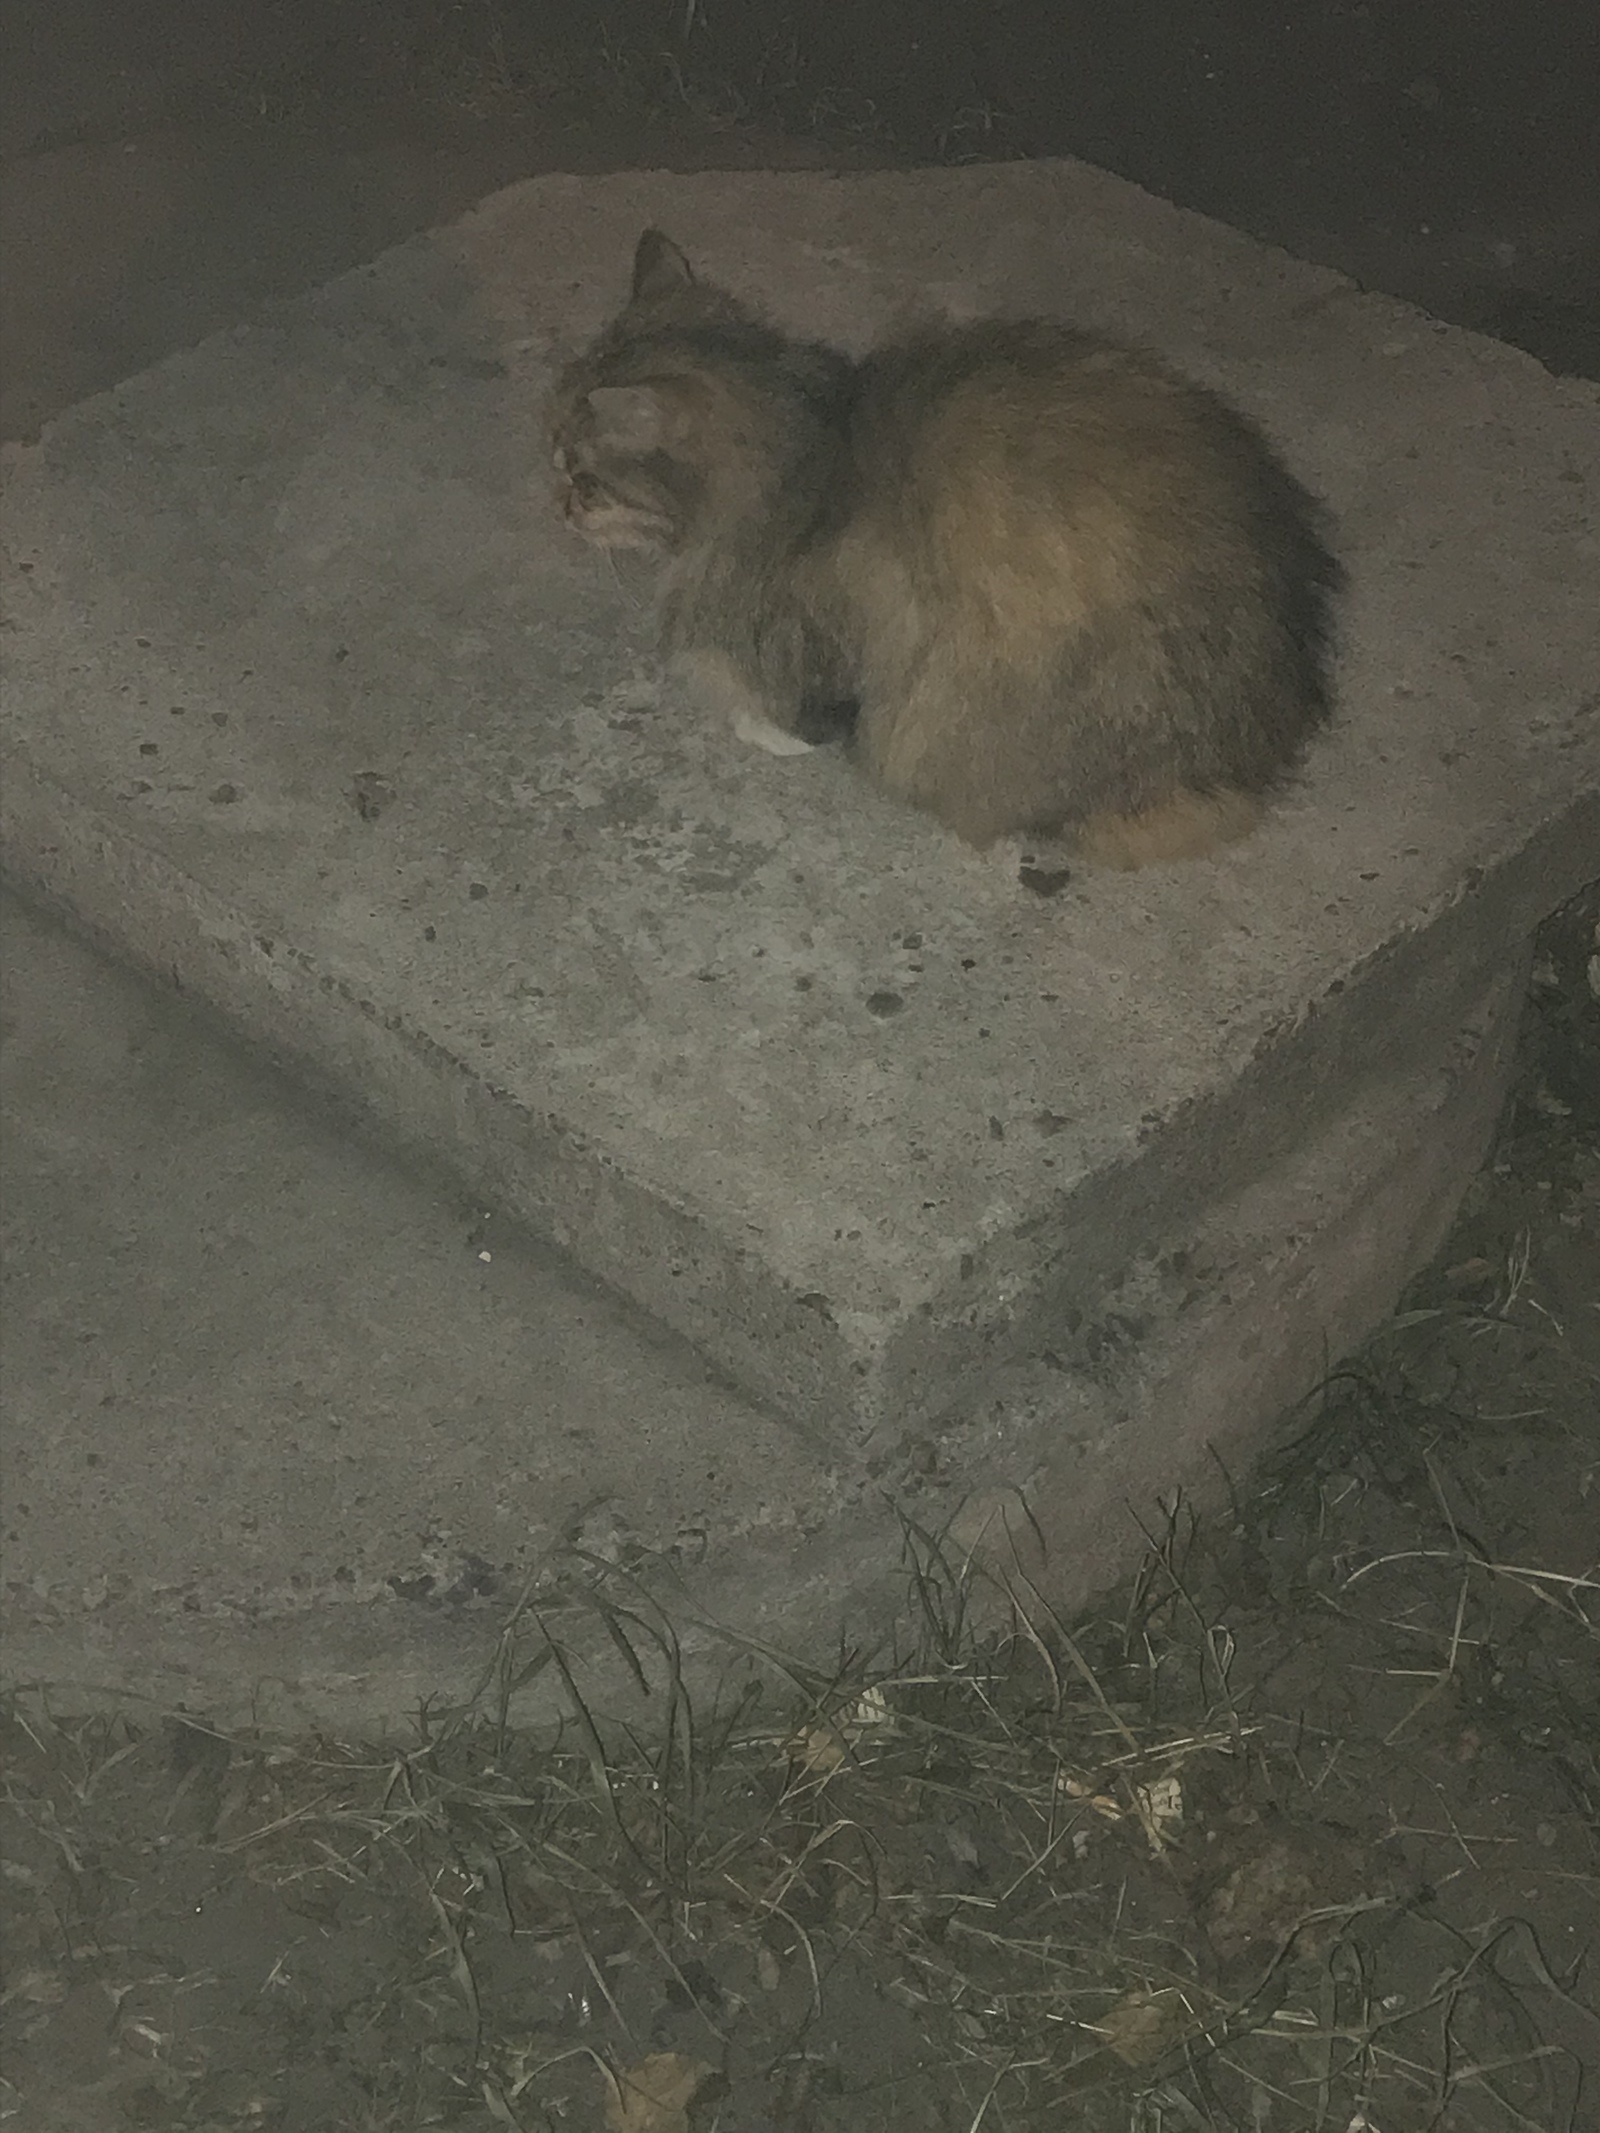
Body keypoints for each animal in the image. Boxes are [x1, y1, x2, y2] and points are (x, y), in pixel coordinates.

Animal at [550, 229, 1339, 861]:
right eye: (561, 466)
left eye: (582, 478)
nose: (556, 505)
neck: (802, 454)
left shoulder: (837, 630)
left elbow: (812, 709)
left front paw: (768, 730)